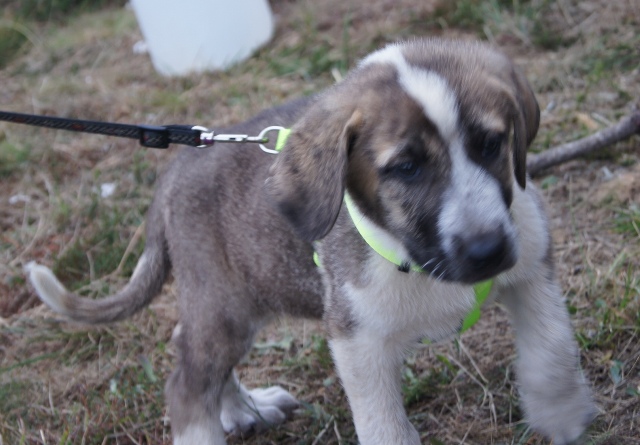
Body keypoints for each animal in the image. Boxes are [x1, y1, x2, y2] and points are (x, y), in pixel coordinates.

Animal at [25, 39, 596, 444]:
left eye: (490, 144)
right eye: (406, 168)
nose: (486, 253)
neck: (413, 255)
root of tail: (172, 174)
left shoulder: (532, 267)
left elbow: (551, 351)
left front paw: (562, 416)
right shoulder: (355, 338)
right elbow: (386, 429)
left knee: (187, 346)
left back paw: (243, 409)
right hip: (225, 305)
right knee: (187, 384)